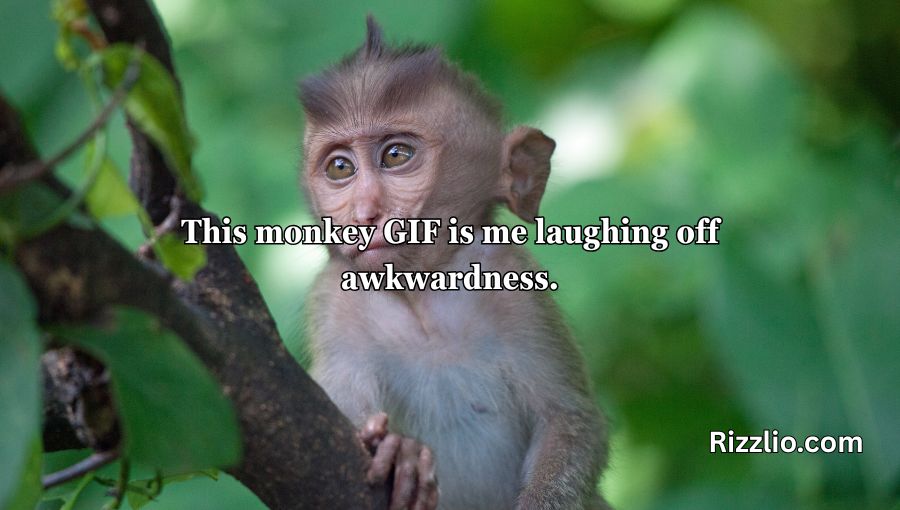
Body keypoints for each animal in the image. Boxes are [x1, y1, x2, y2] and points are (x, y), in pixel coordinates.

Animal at [299, 17, 610, 510]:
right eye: (340, 168)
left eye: (396, 155)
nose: (364, 213)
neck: (423, 295)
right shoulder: (334, 303)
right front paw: (401, 455)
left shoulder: (515, 281)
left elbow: (568, 418)